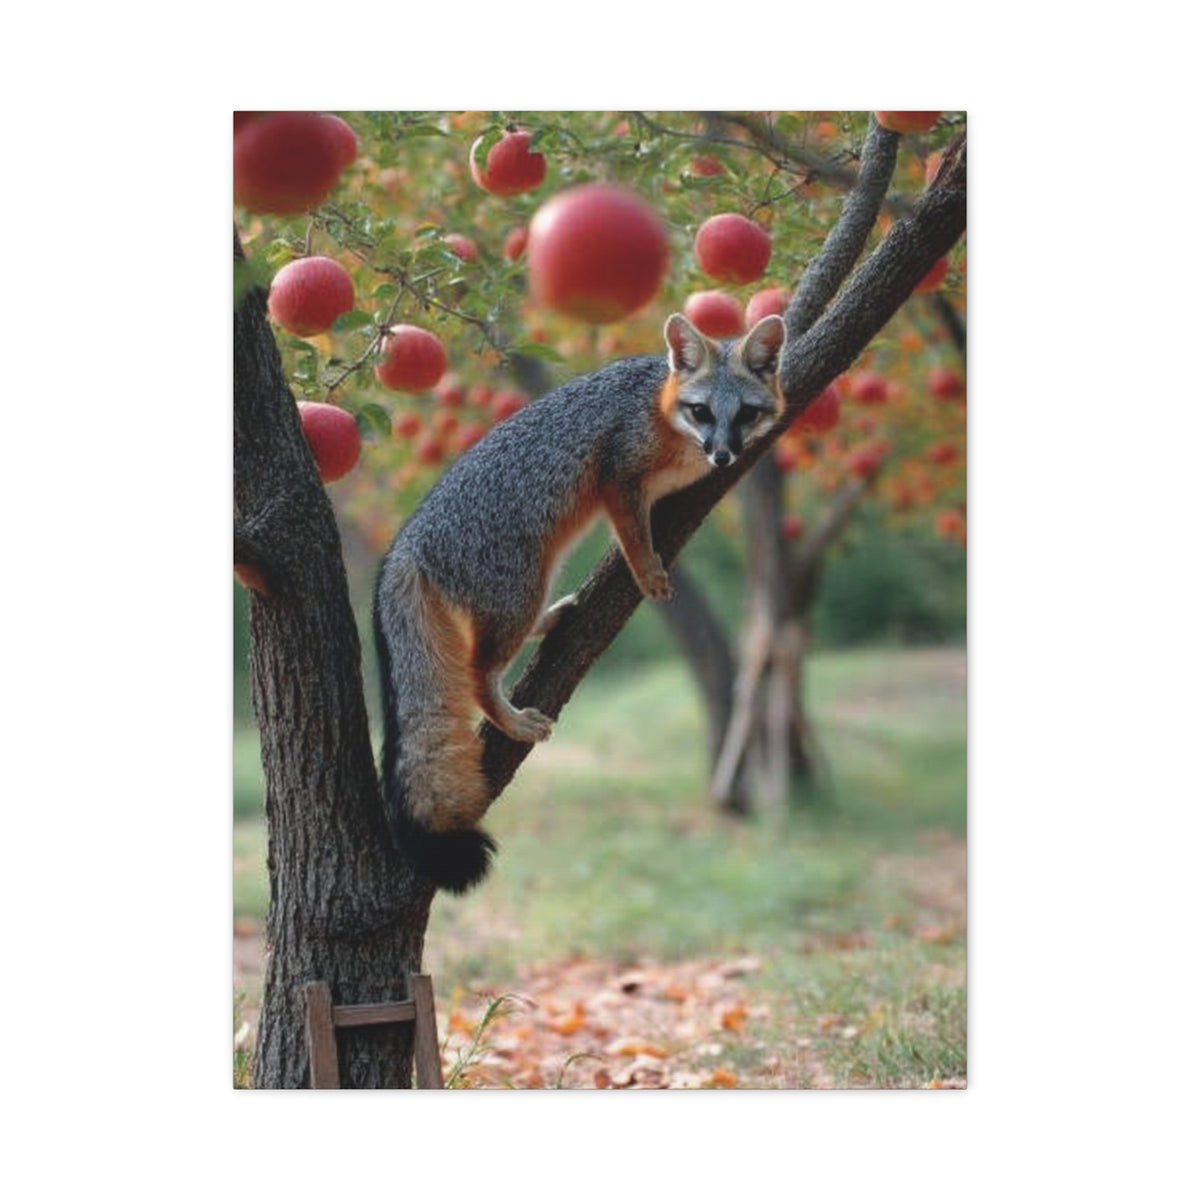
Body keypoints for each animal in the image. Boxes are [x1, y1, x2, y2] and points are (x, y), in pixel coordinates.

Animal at [374, 311, 787, 893]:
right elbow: (633, 537)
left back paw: (556, 618)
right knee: (477, 673)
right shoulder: (617, 474)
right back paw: (512, 720)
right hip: (520, 590)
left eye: (746, 413)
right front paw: (648, 571)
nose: (723, 454)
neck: (660, 409)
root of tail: (407, 540)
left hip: (531, 587)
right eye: (702, 412)